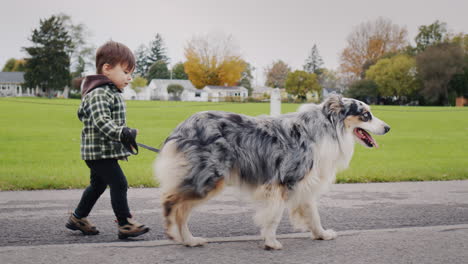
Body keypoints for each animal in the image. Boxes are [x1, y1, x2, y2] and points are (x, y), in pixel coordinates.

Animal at [154, 95, 392, 250]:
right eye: (366, 115)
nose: (388, 128)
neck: (327, 128)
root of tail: (181, 127)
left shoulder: (304, 182)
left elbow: (313, 213)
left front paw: (321, 234)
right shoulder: (284, 181)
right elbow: (275, 215)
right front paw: (271, 242)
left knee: (180, 208)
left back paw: (189, 240)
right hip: (209, 178)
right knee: (172, 202)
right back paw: (177, 234)